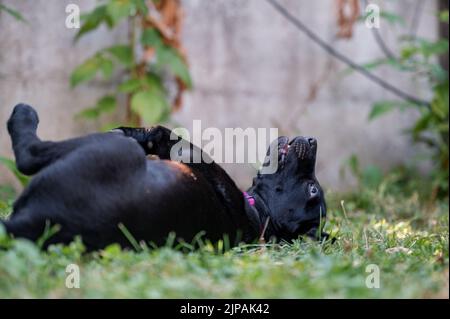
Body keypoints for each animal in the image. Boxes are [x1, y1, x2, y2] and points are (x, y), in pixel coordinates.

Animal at [1, 104, 328, 250]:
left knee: (29, 155)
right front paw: (134, 131)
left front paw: (141, 134)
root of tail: (27, 225)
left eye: (312, 190)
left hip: (104, 152)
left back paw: (23, 114)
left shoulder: (195, 159)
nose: (314, 140)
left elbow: (172, 137)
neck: (258, 215)